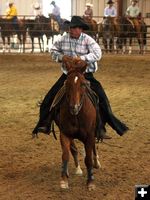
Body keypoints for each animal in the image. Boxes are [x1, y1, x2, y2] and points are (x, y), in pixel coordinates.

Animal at [49, 58, 101, 191]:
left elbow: (88, 159)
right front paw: (64, 180)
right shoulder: (65, 134)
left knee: (92, 149)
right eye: (67, 83)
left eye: (82, 84)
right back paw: (76, 169)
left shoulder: (89, 135)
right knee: (73, 149)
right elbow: (66, 155)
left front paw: (90, 182)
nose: (74, 107)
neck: (77, 115)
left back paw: (96, 162)